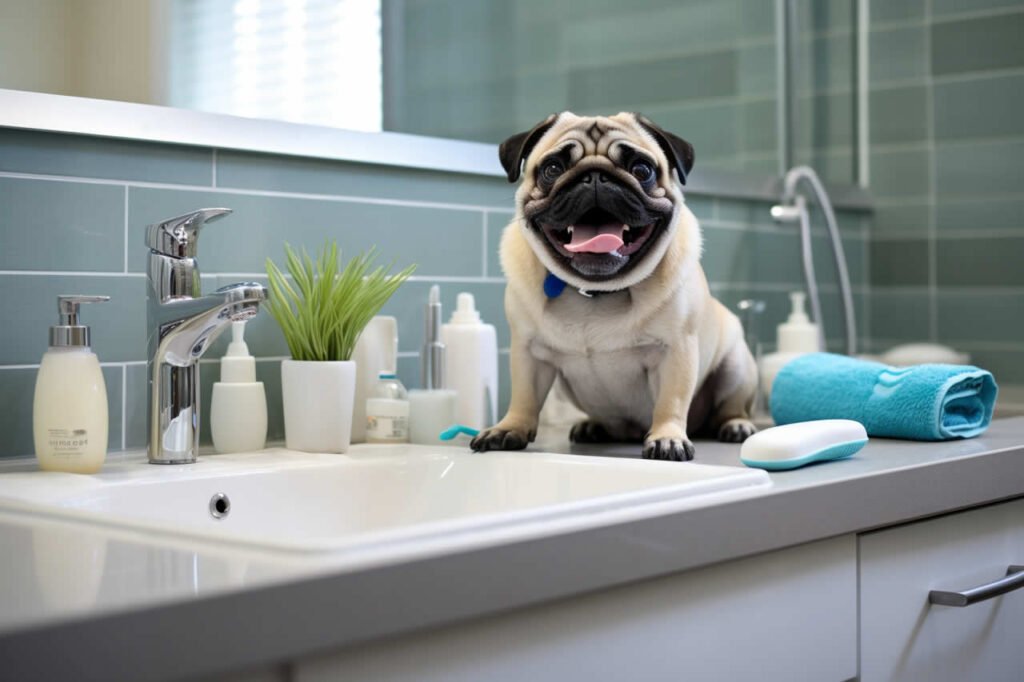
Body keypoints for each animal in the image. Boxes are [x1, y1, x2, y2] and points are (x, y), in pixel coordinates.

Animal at [473, 112, 761, 462]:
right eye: (552, 168)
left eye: (642, 170)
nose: (595, 176)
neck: (595, 292)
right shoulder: (528, 352)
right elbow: (524, 397)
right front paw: (508, 428)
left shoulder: (676, 350)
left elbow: (672, 401)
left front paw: (668, 437)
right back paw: (592, 426)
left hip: (736, 366)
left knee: (732, 405)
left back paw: (736, 425)